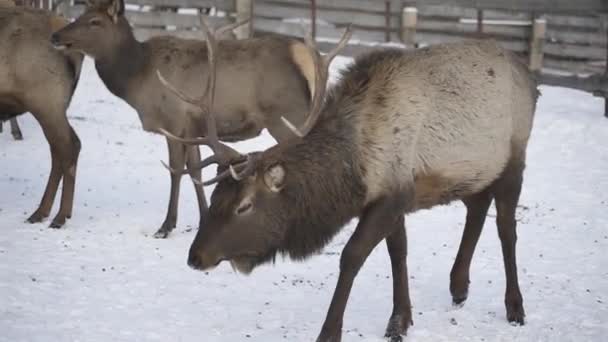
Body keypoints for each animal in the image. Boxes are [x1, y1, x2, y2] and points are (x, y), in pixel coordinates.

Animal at [0, 2, 83, 228]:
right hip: (53, 106)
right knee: (60, 149)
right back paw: (43, 212)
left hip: (46, 102)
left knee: (68, 146)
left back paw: (58, 215)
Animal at [51, 0, 318, 239]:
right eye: (81, 15)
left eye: (95, 21)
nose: (55, 36)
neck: (136, 79)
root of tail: (303, 56)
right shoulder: (194, 129)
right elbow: (196, 171)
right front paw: (203, 217)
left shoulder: (174, 122)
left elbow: (176, 170)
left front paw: (166, 226)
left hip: (287, 115)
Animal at [159, 20, 540, 340]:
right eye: (216, 195)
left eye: (245, 206)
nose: (196, 256)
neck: (355, 166)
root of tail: (530, 78)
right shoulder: (395, 194)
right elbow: (398, 252)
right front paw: (400, 320)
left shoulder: (392, 195)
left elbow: (351, 256)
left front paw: (329, 332)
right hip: (477, 168)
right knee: (477, 205)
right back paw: (459, 286)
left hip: (515, 156)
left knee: (507, 228)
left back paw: (515, 306)